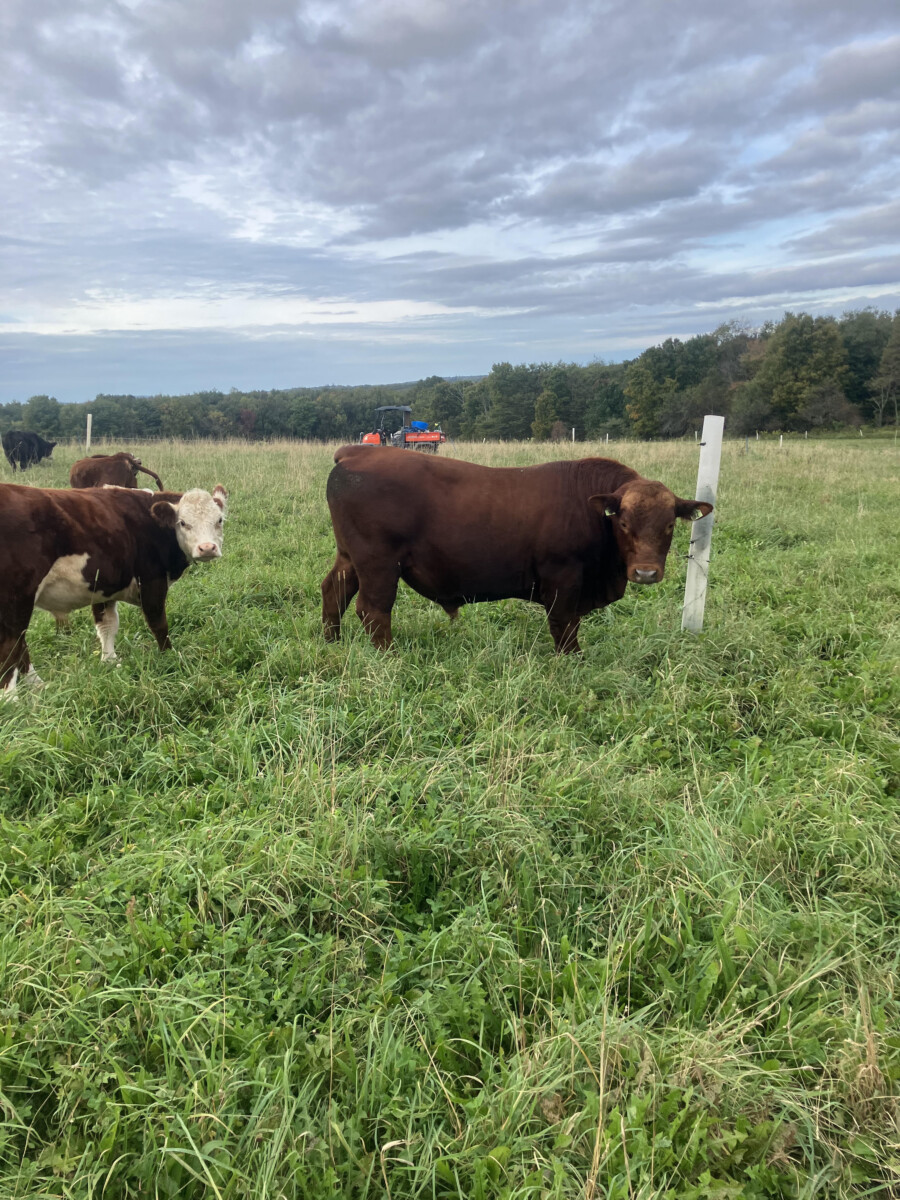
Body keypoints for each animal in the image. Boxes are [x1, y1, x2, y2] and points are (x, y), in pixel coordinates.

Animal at [0, 482, 228, 693]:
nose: (207, 548)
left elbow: (107, 625)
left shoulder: (103, 587)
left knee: (20, 645)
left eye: (219, 520)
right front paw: (169, 656)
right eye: (182, 522)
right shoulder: (152, 580)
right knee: (11, 647)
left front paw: (109, 661)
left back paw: (38, 685)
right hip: (16, 599)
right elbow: (159, 624)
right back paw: (13, 699)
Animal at [321, 446, 712, 654]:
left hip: (351, 557)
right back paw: (389, 655)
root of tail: (358, 451)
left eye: (669, 524)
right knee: (373, 609)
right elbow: (564, 624)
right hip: (379, 563)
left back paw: (332, 642)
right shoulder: (563, 576)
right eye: (624, 522)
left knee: (334, 591)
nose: (645, 572)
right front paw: (573, 660)